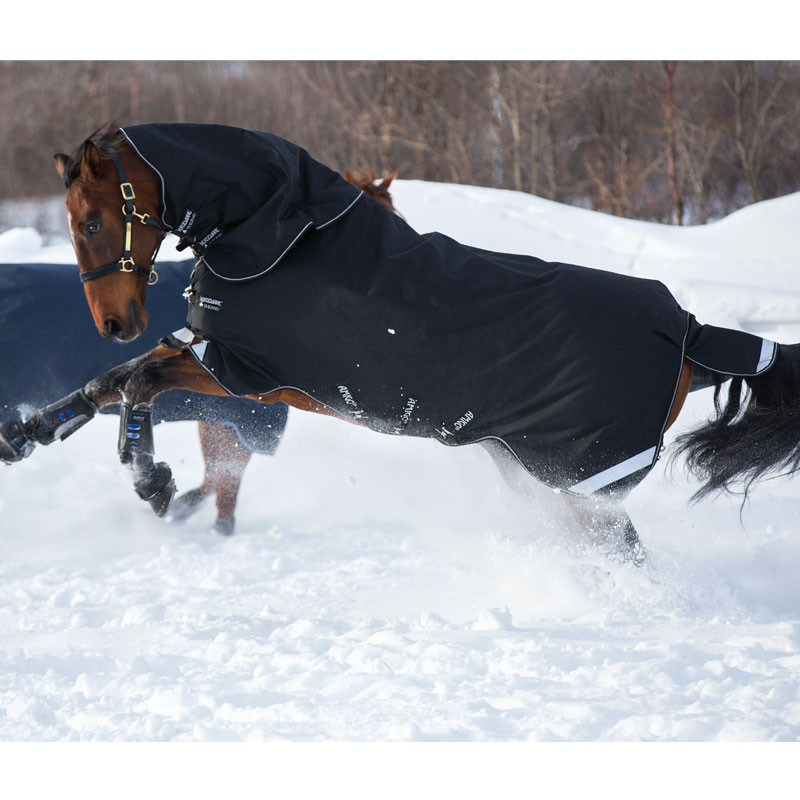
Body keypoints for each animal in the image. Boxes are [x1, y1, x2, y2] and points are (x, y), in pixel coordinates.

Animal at [5, 123, 800, 566]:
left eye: (95, 222)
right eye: (75, 224)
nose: (115, 319)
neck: (276, 239)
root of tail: (690, 334)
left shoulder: (248, 378)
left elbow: (138, 383)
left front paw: (154, 483)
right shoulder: (216, 362)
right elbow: (110, 382)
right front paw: (28, 434)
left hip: (577, 481)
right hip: (543, 476)